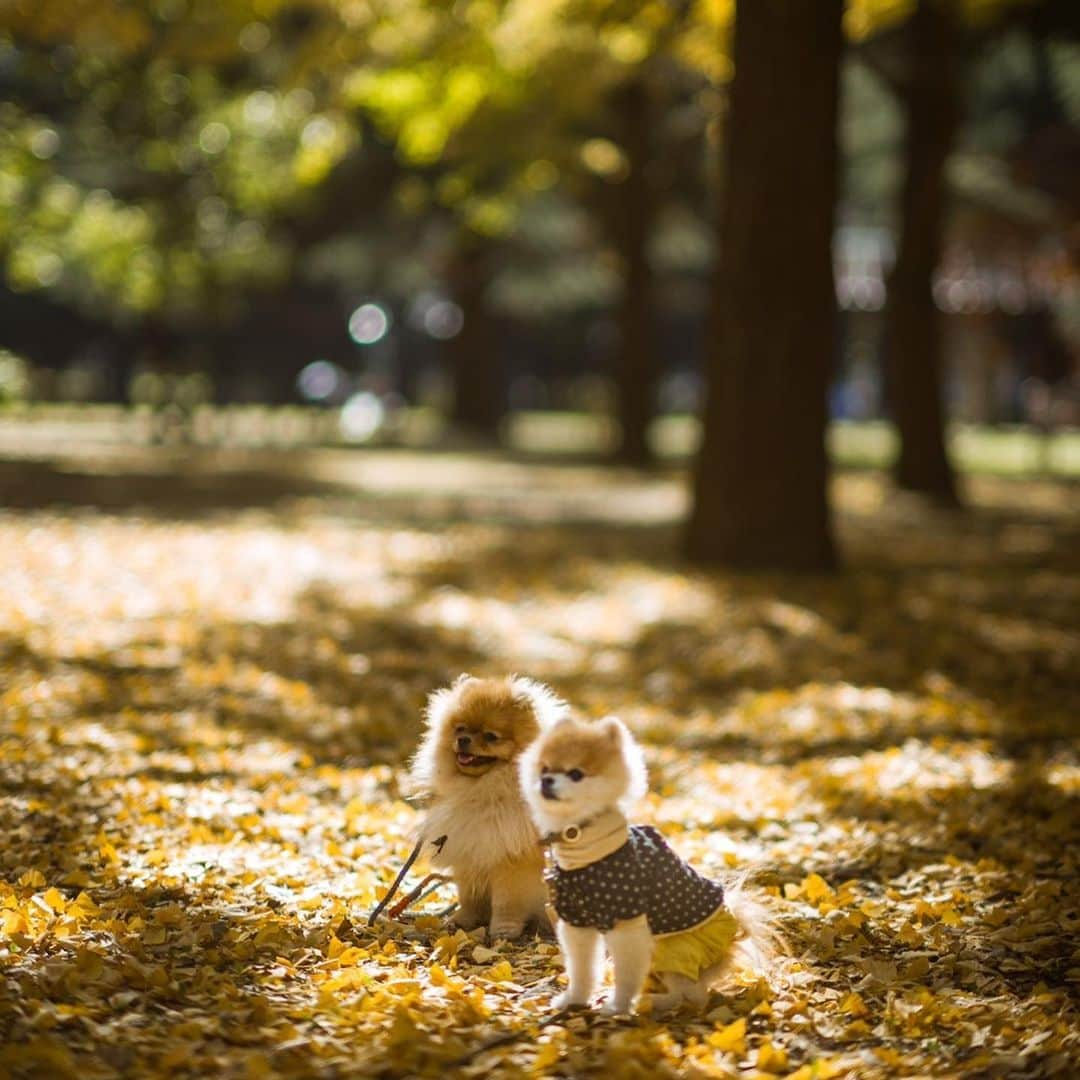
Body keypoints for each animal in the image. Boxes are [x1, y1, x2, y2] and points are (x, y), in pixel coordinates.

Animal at [406, 673, 570, 937]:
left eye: (491, 736)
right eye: (460, 728)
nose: (463, 739)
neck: (486, 790)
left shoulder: (512, 859)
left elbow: (507, 902)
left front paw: (504, 929)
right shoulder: (470, 850)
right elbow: (469, 896)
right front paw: (463, 920)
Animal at [516, 717, 777, 1010]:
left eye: (575, 774)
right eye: (544, 769)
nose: (546, 780)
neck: (582, 841)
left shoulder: (627, 922)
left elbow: (626, 971)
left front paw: (618, 1006)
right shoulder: (576, 922)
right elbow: (581, 968)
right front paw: (575, 999)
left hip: (672, 949)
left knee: (689, 996)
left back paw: (652, 1001)